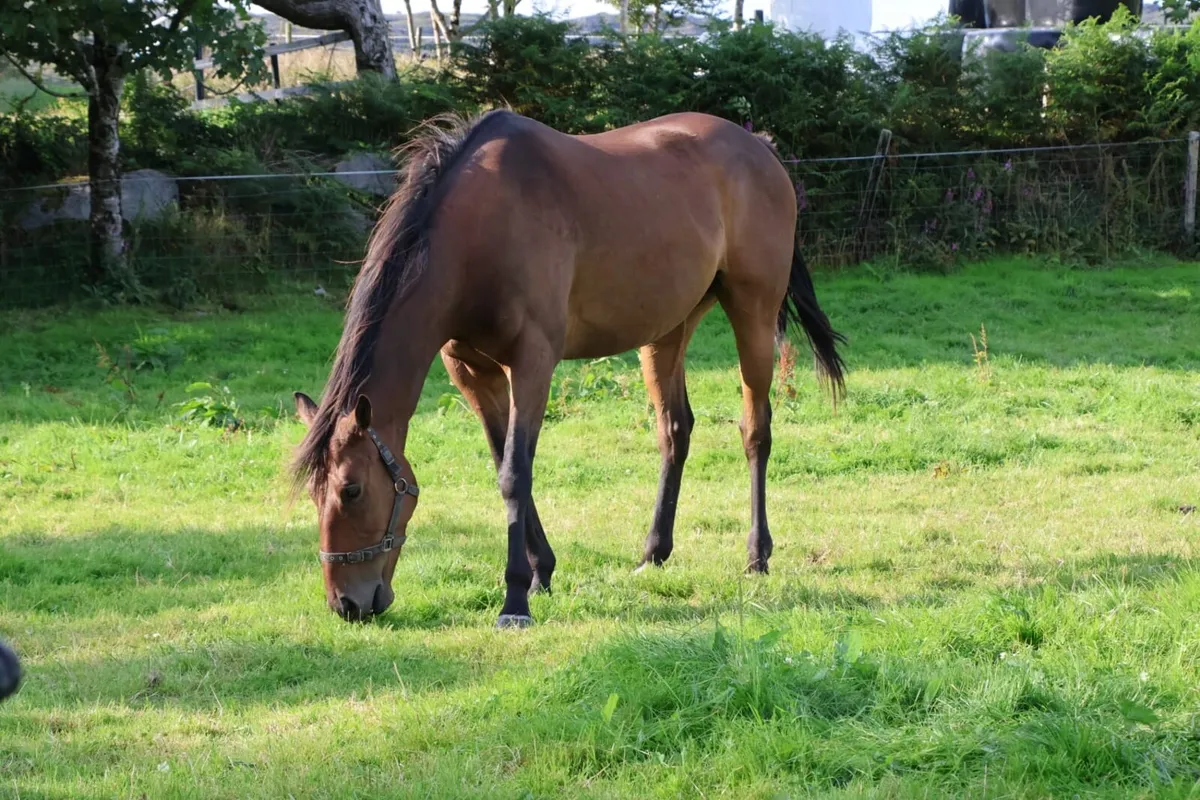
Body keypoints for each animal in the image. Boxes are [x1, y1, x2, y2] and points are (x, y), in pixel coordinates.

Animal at [292, 110, 846, 627]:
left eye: (351, 490)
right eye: (315, 495)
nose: (347, 604)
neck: (480, 229)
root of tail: (759, 147)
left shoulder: (532, 361)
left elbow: (515, 473)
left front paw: (515, 599)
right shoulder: (471, 372)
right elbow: (505, 464)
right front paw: (543, 574)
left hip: (753, 313)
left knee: (756, 431)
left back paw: (757, 555)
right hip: (668, 330)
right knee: (675, 430)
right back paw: (654, 553)